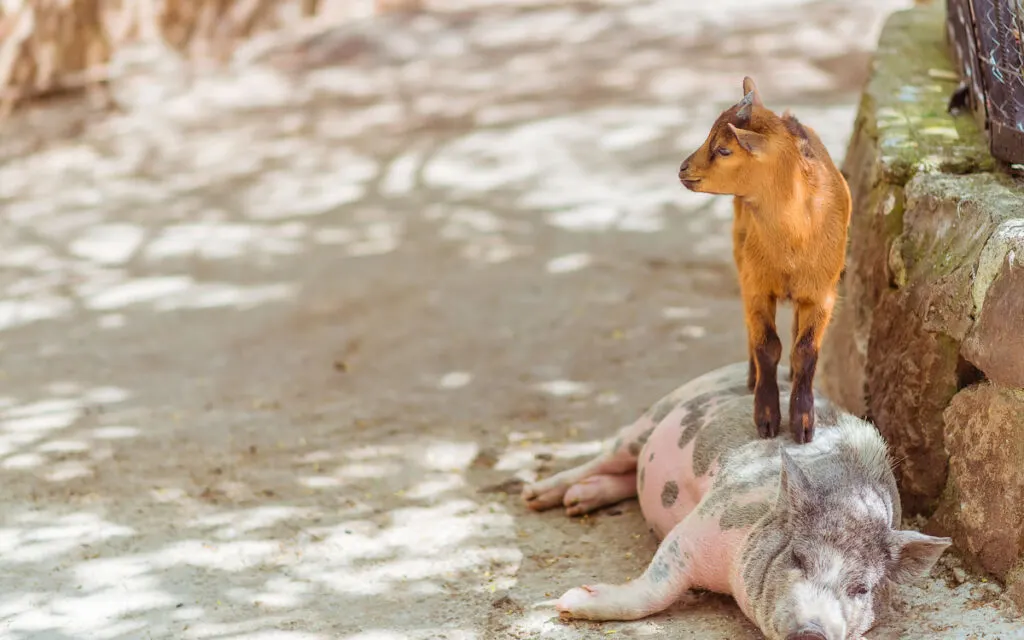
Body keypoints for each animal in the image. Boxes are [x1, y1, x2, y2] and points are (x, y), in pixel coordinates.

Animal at [524, 362, 954, 634]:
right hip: (655, 415)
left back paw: (577, 500)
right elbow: (658, 587)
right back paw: (540, 497)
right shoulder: (703, 523)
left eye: (861, 589)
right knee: (609, 455)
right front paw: (568, 601)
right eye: (798, 558)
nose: (813, 632)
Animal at [675, 76, 851, 444]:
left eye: (724, 149)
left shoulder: (822, 295)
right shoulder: (756, 286)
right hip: (741, 258)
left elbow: (805, 351)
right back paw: (751, 377)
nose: (683, 169)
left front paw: (803, 424)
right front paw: (767, 418)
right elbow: (767, 346)